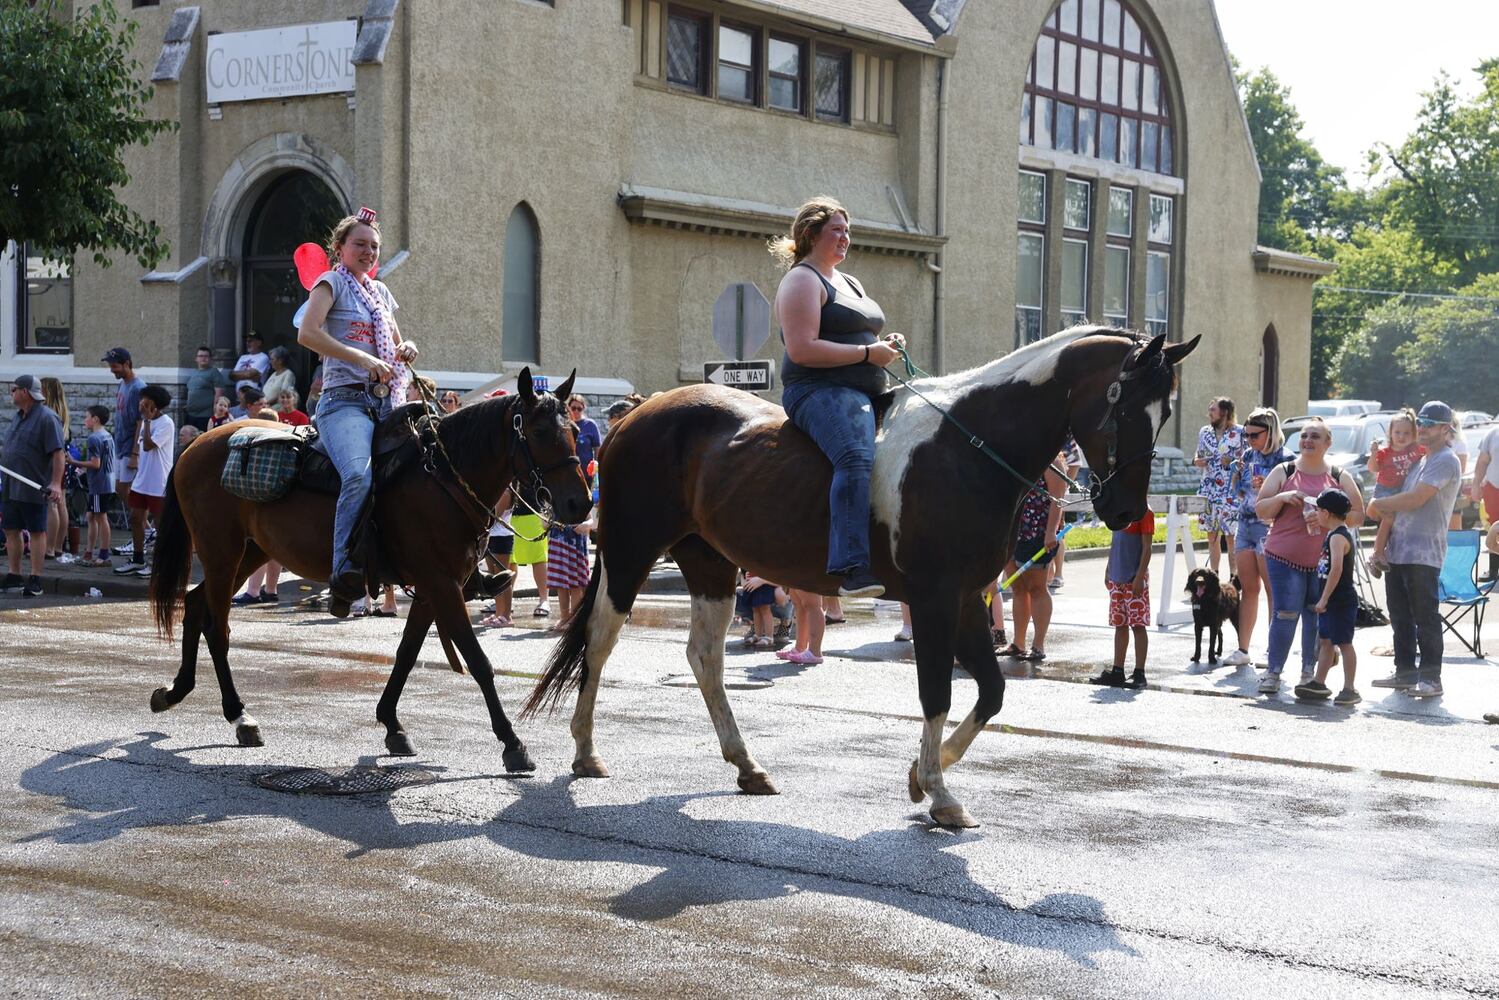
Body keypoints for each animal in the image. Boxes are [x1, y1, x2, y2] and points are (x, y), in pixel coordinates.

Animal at [146, 367, 590, 767]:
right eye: (538, 432)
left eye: (573, 430)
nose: (580, 504)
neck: (442, 479)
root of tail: (195, 444)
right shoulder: (442, 585)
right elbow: (478, 661)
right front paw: (513, 743)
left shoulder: (431, 588)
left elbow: (407, 652)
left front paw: (392, 724)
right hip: (221, 553)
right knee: (216, 628)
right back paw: (240, 716)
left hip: (247, 553)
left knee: (196, 607)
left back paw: (175, 691)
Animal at [521, 328, 1199, 827]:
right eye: (1123, 404)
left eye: (1166, 411)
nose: (1124, 511)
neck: (966, 448)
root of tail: (635, 417)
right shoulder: (934, 598)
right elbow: (938, 693)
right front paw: (939, 792)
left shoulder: (966, 598)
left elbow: (990, 692)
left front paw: (924, 775)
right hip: (631, 554)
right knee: (600, 642)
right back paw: (585, 751)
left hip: (709, 562)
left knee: (704, 658)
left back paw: (746, 764)